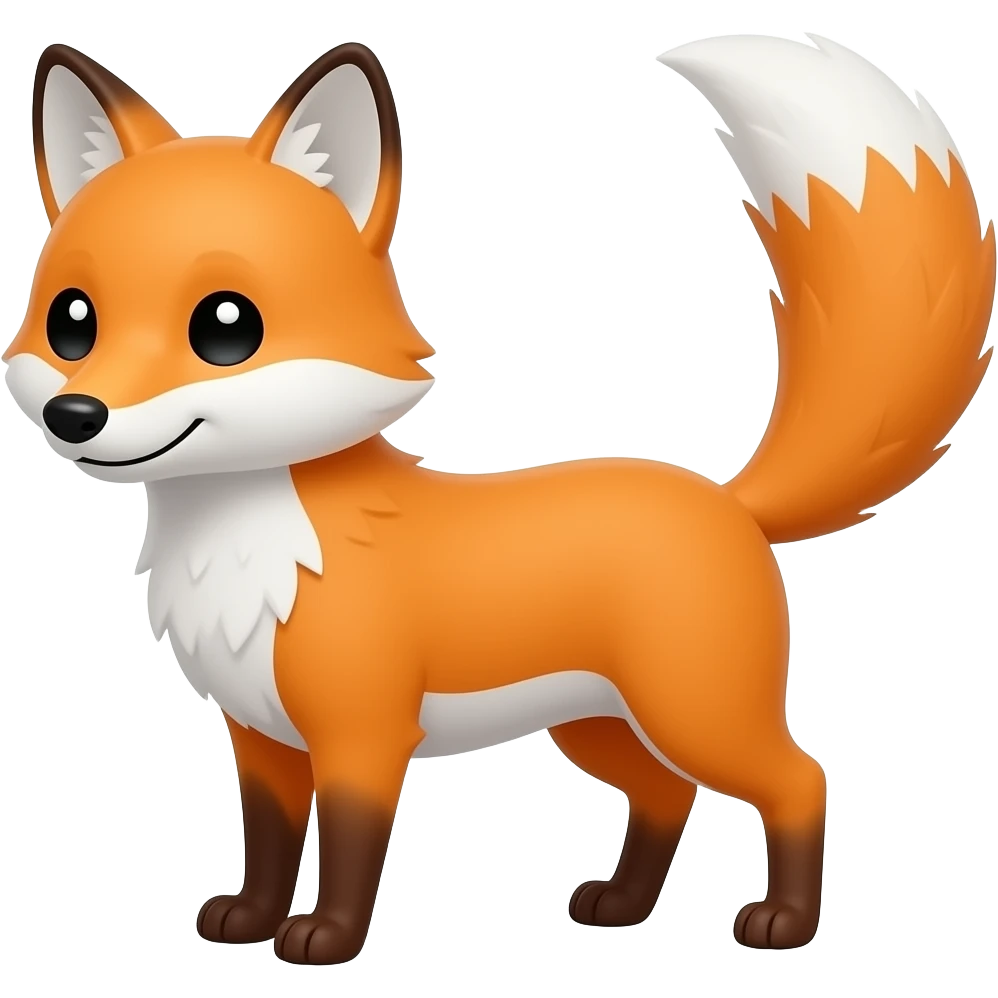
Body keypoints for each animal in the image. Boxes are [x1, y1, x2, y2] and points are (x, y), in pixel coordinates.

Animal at [5, 33, 994, 965]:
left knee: (799, 779)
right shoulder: (261, 737)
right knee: (667, 792)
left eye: (225, 326)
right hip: (598, 725)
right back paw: (622, 907)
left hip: (695, 711)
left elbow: (350, 848)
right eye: (72, 321)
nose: (76, 415)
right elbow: (271, 842)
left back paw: (783, 923)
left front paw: (326, 938)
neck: (251, 552)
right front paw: (249, 920)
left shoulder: (364, 735)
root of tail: (729, 500)